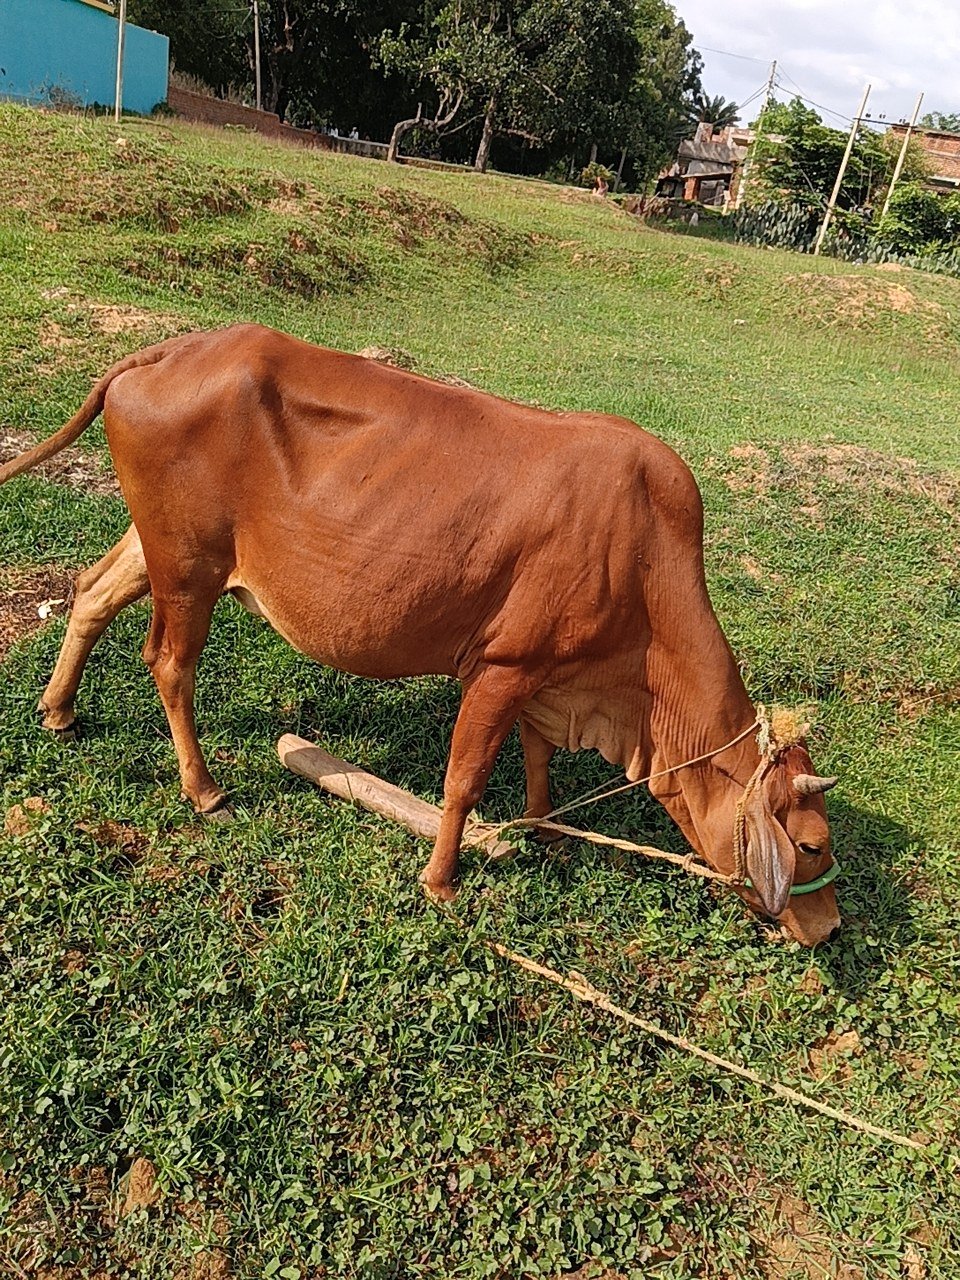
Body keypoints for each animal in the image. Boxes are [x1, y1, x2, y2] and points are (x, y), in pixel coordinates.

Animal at [0, 324, 840, 945]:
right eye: (810, 844)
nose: (828, 929)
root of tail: (173, 349)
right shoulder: (502, 668)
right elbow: (463, 781)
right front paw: (442, 881)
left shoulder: (546, 675)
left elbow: (538, 757)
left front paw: (546, 830)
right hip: (190, 568)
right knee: (170, 661)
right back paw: (203, 788)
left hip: (166, 549)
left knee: (90, 593)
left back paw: (60, 709)